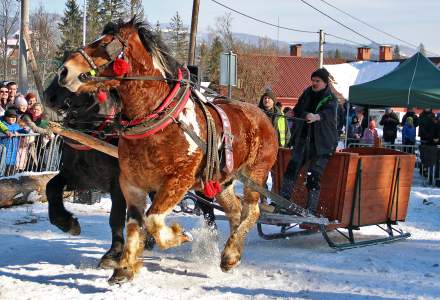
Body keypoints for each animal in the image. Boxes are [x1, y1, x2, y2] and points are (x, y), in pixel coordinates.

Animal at [56, 18, 276, 284]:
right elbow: (134, 223)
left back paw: (231, 253)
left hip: (255, 174)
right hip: (223, 180)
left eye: (106, 43)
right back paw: (230, 254)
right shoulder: (131, 183)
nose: (64, 71)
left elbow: (152, 219)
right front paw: (124, 267)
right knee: (235, 211)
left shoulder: (178, 180)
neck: (159, 120)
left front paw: (179, 235)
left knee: (251, 211)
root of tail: (261, 115)